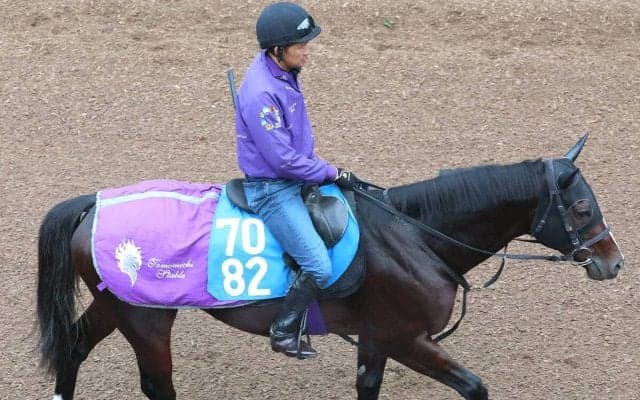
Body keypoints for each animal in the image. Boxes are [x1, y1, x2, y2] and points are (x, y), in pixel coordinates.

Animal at [37, 135, 624, 400]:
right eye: (580, 208)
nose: (613, 262)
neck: (414, 236)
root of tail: (93, 203)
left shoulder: (377, 338)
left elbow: (367, 387)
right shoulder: (406, 337)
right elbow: (473, 387)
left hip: (116, 306)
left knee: (73, 345)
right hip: (147, 319)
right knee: (156, 385)